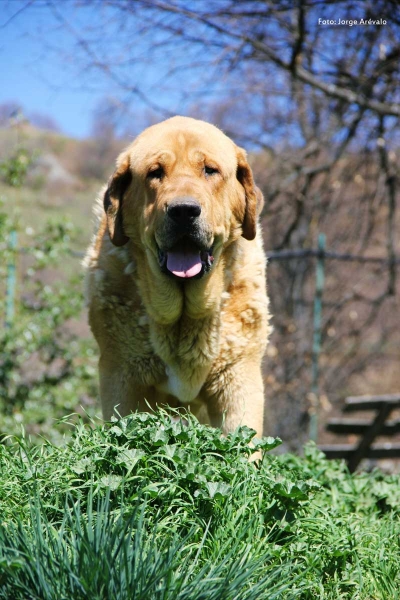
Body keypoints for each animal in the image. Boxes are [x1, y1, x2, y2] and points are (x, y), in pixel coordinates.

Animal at [84, 116, 272, 436]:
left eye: (210, 170)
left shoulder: (238, 379)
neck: (184, 318)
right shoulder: (122, 377)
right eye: (155, 173)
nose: (184, 211)